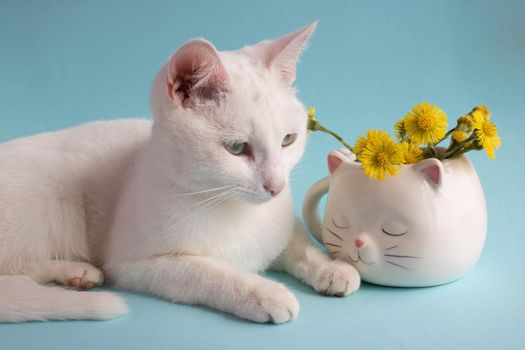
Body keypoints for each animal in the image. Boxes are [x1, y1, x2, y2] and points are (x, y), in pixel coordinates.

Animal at [0, 21, 358, 322]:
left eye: (288, 140)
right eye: (237, 148)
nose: (277, 186)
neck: (233, 210)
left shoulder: (279, 223)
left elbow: (298, 241)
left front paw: (331, 268)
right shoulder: (136, 265)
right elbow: (208, 272)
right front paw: (263, 292)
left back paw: (75, 273)